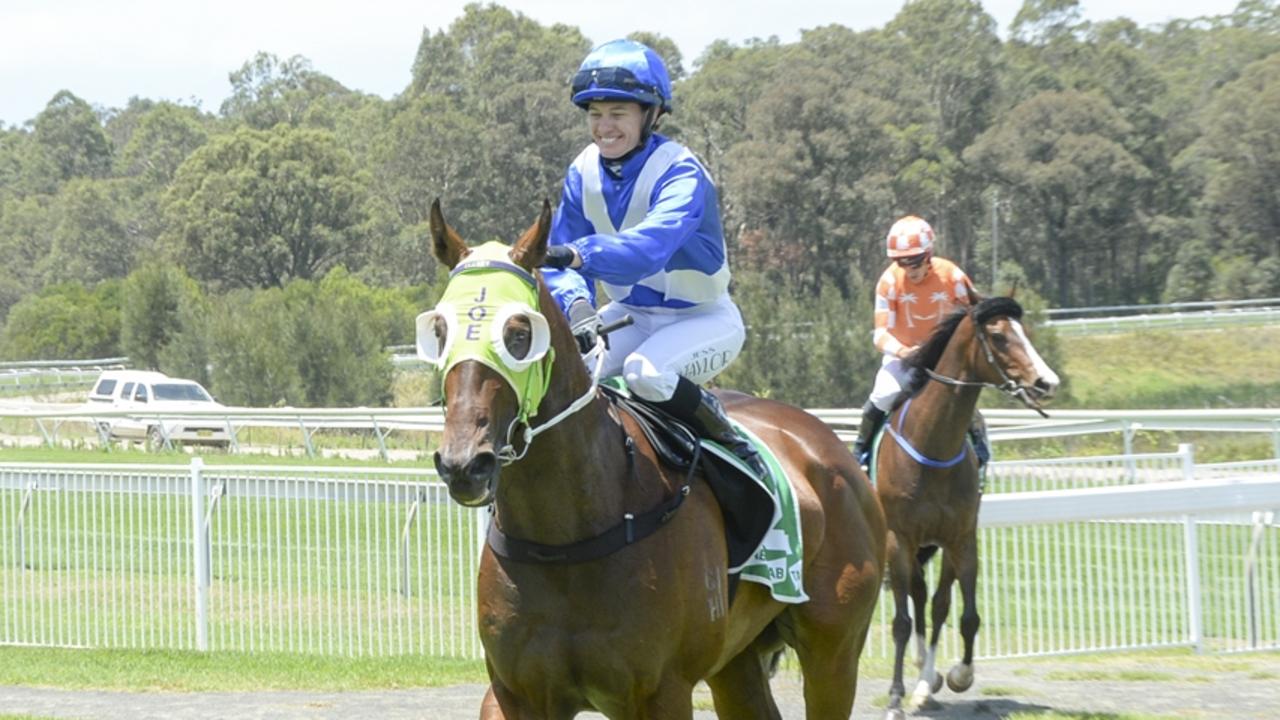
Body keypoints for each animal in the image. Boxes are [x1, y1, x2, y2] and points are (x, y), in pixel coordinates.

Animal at [424, 197, 885, 717]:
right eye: (438, 329)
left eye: (520, 333)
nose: (464, 463)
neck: (563, 538)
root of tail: (832, 451)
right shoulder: (514, 692)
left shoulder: (661, 691)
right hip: (737, 660)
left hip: (833, 650)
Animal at [880, 294, 1059, 712]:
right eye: (999, 336)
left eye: (1023, 331)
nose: (1046, 382)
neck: (933, 446)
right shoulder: (899, 538)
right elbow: (901, 621)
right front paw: (895, 697)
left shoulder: (961, 537)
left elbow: (965, 615)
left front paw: (958, 675)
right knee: (914, 598)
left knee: (933, 601)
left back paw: (927, 680)